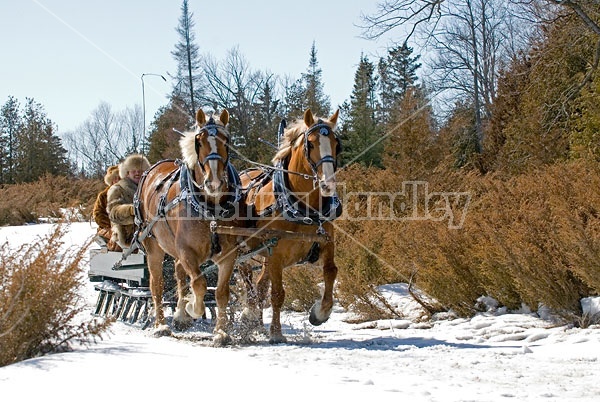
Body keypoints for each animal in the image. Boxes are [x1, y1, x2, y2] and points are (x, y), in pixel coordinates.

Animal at [135, 109, 241, 346]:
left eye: (227, 141)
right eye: (199, 141)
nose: (214, 183)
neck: (210, 209)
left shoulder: (228, 254)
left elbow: (221, 292)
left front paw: (221, 332)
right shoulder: (187, 252)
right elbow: (199, 284)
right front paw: (193, 308)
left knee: (178, 273)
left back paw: (180, 315)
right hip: (153, 246)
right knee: (157, 285)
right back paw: (161, 325)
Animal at [240, 108, 342, 344]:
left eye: (336, 143)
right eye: (310, 144)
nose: (328, 184)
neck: (303, 209)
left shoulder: (326, 241)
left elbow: (331, 271)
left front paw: (320, 313)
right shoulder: (276, 253)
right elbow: (278, 294)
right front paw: (276, 332)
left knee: (260, 286)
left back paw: (257, 324)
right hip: (243, 251)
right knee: (249, 281)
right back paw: (249, 313)